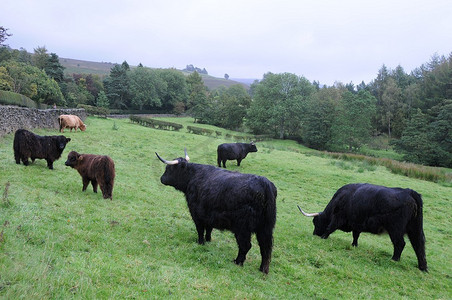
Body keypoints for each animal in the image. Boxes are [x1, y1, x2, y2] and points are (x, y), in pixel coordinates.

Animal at [298, 183, 430, 272]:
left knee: (400, 243)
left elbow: (330, 227)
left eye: (315, 222)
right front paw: (354, 245)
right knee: (419, 245)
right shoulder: (357, 224)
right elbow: (355, 235)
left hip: (395, 229)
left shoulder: (338, 217)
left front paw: (324, 237)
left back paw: (394, 259)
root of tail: (409, 192)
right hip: (415, 228)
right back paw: (422, 267)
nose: (315, 234)